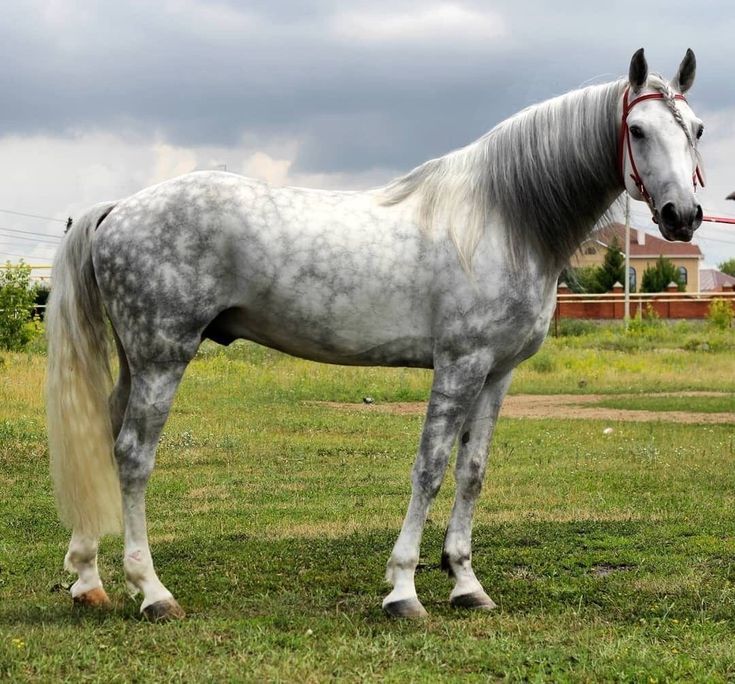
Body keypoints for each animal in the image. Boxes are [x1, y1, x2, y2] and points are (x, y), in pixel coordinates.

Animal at [47, 48, 708, 620]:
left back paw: (88, 580)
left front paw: (466, 583)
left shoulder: (497, 374)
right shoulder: (460, 365)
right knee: (133, 456)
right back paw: (152, 591)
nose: (682, 216)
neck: (501, 220)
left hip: (138, 360)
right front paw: (404, 590)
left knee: (103, 440)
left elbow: (472, 471)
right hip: (164, 357)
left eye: (697, 129)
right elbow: (430, 467)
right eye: (639, 130)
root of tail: (119, 208)